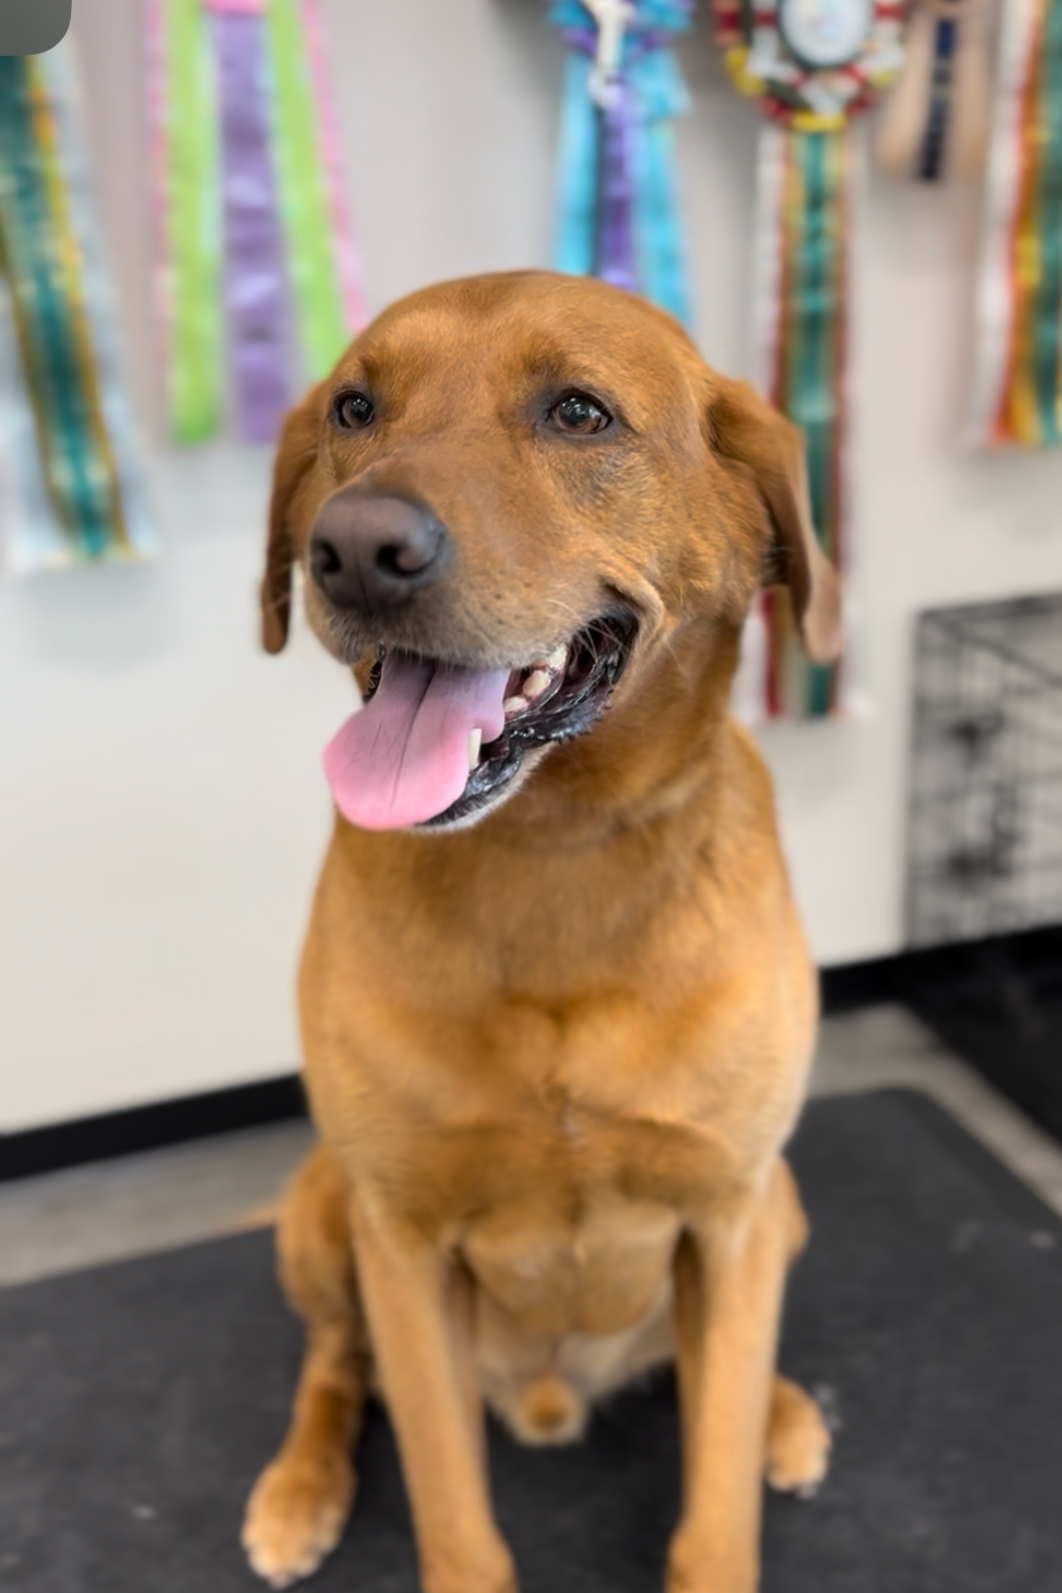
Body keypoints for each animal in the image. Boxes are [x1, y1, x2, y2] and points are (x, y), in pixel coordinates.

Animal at [242, 270, 838, 1593]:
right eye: (355, 407)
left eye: (579, 413)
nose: (355, 550)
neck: (551, 853)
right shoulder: (403, 1245)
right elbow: (450, 1503)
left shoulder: (729, 1214)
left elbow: (716, 1490)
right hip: (321, 1213)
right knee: (329, 1364)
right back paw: (300, 1484)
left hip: (782, 1204)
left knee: (724, 1371)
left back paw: (781, 1410)